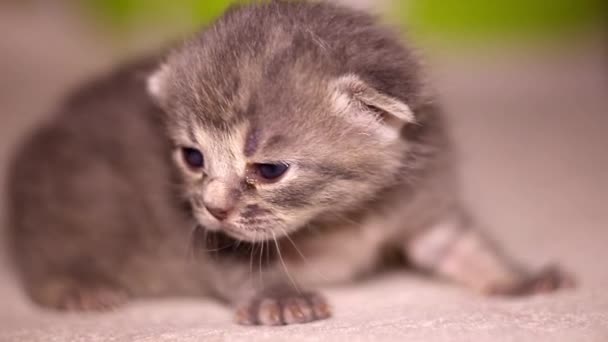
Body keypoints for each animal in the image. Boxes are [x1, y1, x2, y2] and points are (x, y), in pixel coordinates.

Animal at [7, 0, 572, 326]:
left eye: (269, 170)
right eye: (193, 157)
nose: (212, 209)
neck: (348, 215)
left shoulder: (425, 203)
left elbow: (464, 248)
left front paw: (518, 278)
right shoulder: (216, 245)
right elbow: (246, 268)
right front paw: (277, 296)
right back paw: (77, 288)